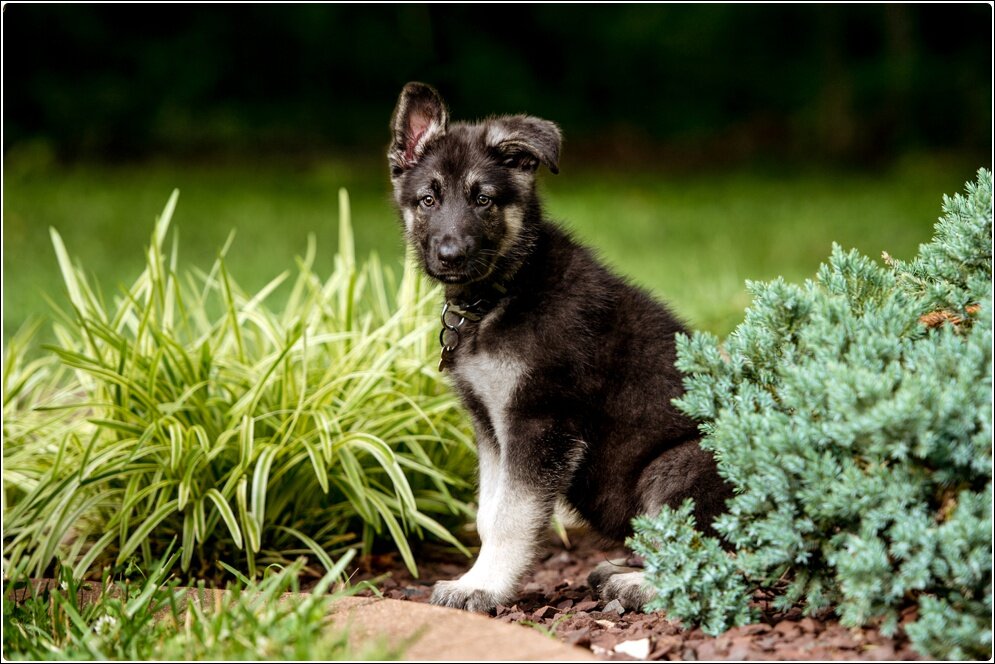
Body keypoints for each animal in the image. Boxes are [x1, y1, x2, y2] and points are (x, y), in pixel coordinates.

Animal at [390, 81, 732, 612]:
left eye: (483, 200)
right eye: (428, 199)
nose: (450, 255)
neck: (503, 292)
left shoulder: (540, 424)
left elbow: (511, 518)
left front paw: (482, 585)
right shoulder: (491, 428)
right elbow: (489, 513)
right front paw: (482, 576)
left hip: (678, 466)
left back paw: (640, 586)